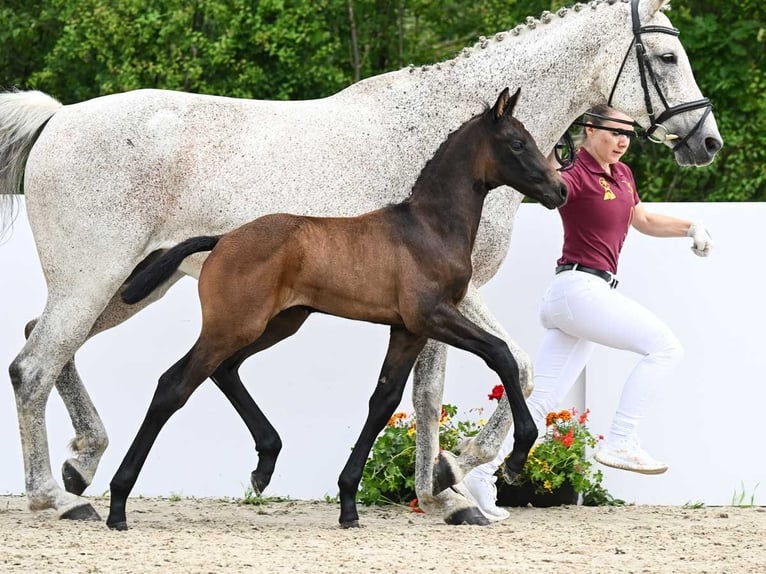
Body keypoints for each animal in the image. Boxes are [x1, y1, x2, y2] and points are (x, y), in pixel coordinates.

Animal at [108, 88, 568, 532]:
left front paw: (348, 503)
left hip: (277, 323)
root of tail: (222, 239)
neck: (429, 228)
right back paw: (118, 505)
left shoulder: (408, 330)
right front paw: (516, 458)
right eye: (517, 143)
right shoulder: (433, 315)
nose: (559, 191)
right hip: (233, 326)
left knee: (224, 370)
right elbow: (501, 355)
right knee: (174, 385)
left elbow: (383, 400)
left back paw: (265, 464)